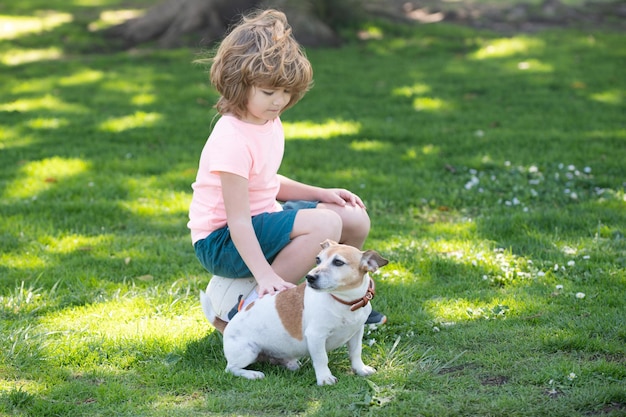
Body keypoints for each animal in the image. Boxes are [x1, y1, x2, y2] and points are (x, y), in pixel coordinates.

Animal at [199, 239, 386, 386]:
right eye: (317, 259)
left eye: (338, 262)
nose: (310, 277)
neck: (344, 302)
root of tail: (227, 324)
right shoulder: (316, 336)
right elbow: (321, 359)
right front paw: (324, 378)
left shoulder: (356, 333)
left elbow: (355, 353)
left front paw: (360, 369)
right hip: (247, 352)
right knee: (231, 369)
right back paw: (252, 374)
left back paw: (289, 363)